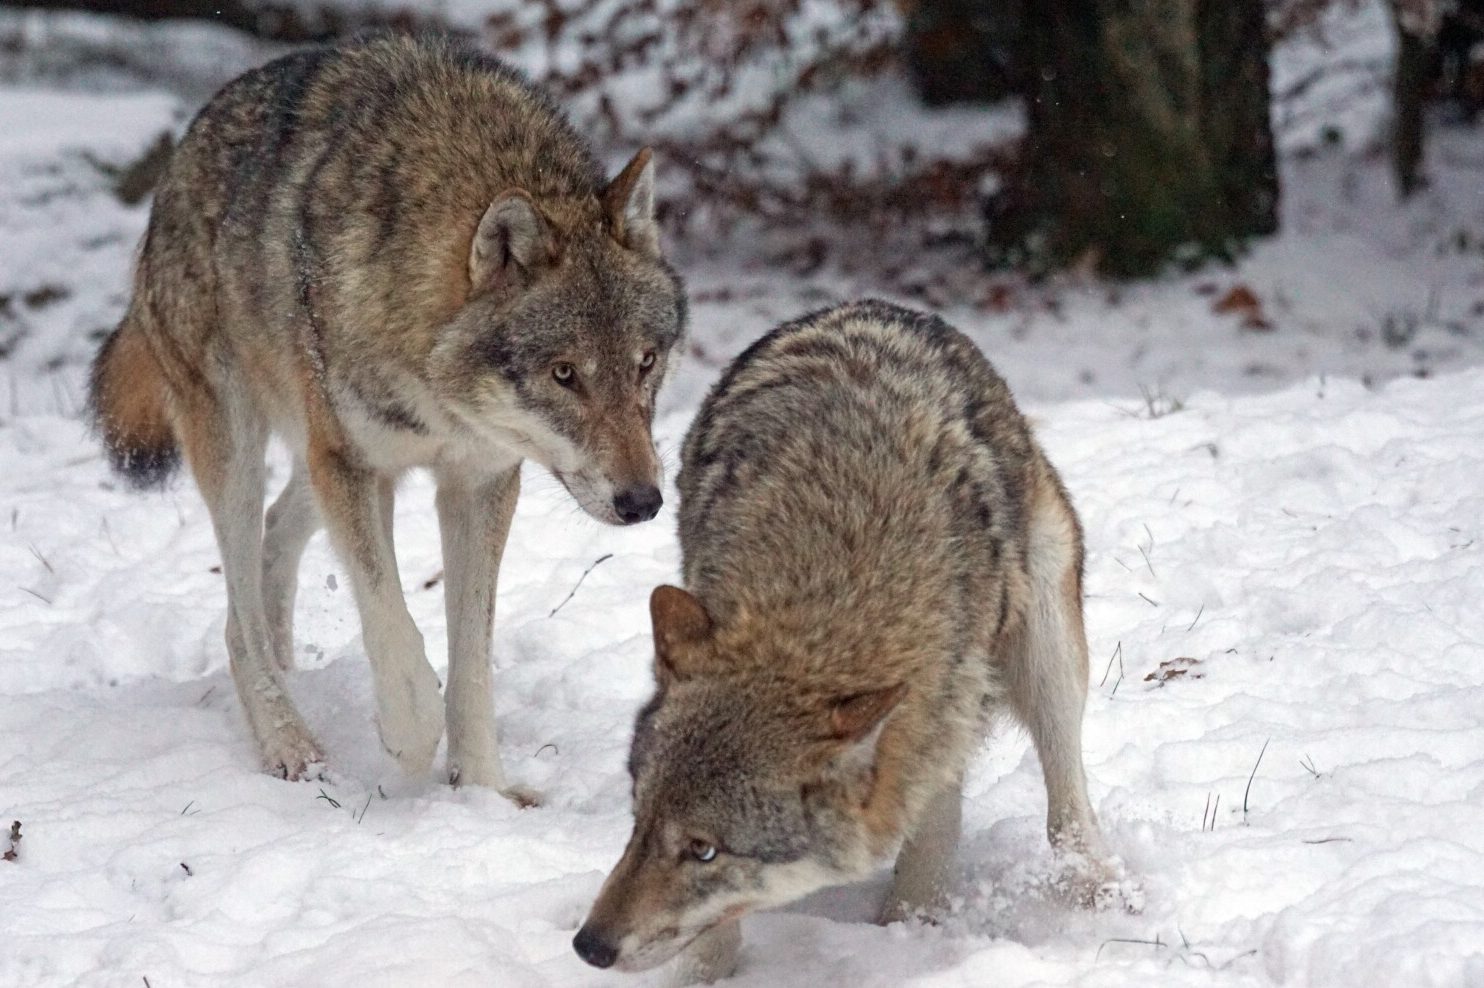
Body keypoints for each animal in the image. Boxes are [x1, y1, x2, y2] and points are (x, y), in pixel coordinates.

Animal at [87, 33, 687, 803]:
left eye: (645, 362)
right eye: (564, 374)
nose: (643, 502)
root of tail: (179, 160)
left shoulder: (479, 482)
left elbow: (472, 659)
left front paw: (482, 792)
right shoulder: (357, 467)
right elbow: (395, 632)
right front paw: (406, 742)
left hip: (316, 456)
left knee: (273, 542)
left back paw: (288, 663)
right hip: (243, 448)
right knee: (240, 615)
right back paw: (289, 743)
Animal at [574, 300, 1114, 979]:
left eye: (703, 850)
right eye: (639, 818)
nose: (588, 945)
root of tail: (870, 305)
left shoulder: (941, 712)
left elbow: (932, 837)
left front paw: (910, 936)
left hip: (1045, 653)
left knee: (1066, 801)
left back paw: (1103, 895)